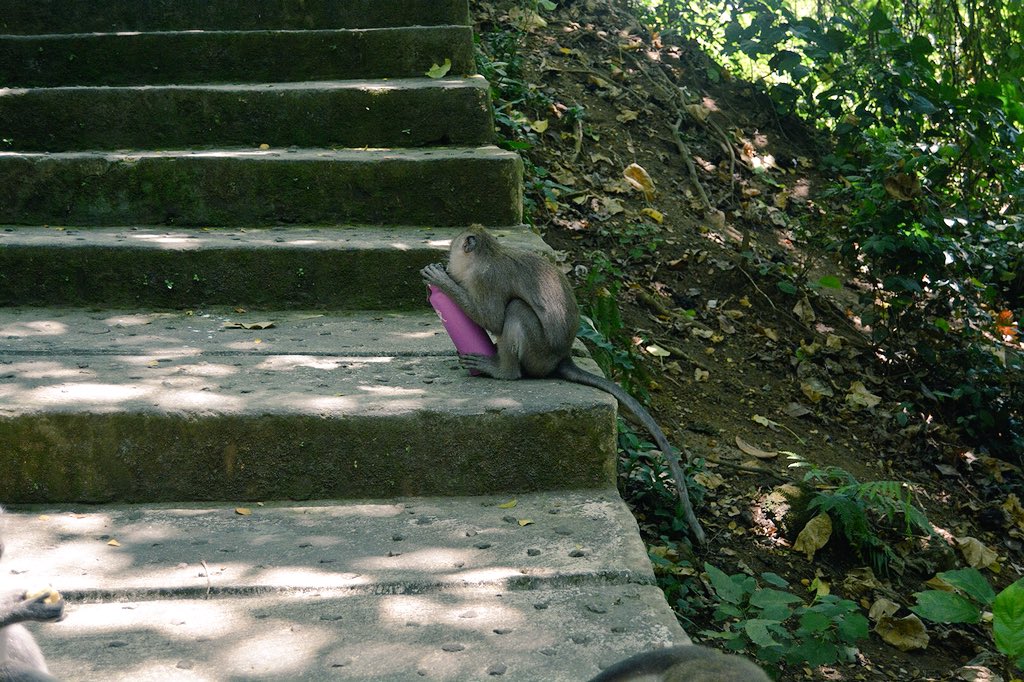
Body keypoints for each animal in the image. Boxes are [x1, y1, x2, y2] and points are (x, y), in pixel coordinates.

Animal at [420, 225, 706, 544]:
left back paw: (503, 370)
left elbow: (492, 318)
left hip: (537, 353)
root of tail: (562, 358)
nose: (447, 260)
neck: (488, 254)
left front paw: (441, 281)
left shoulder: (485, 280)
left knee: (516, 309)